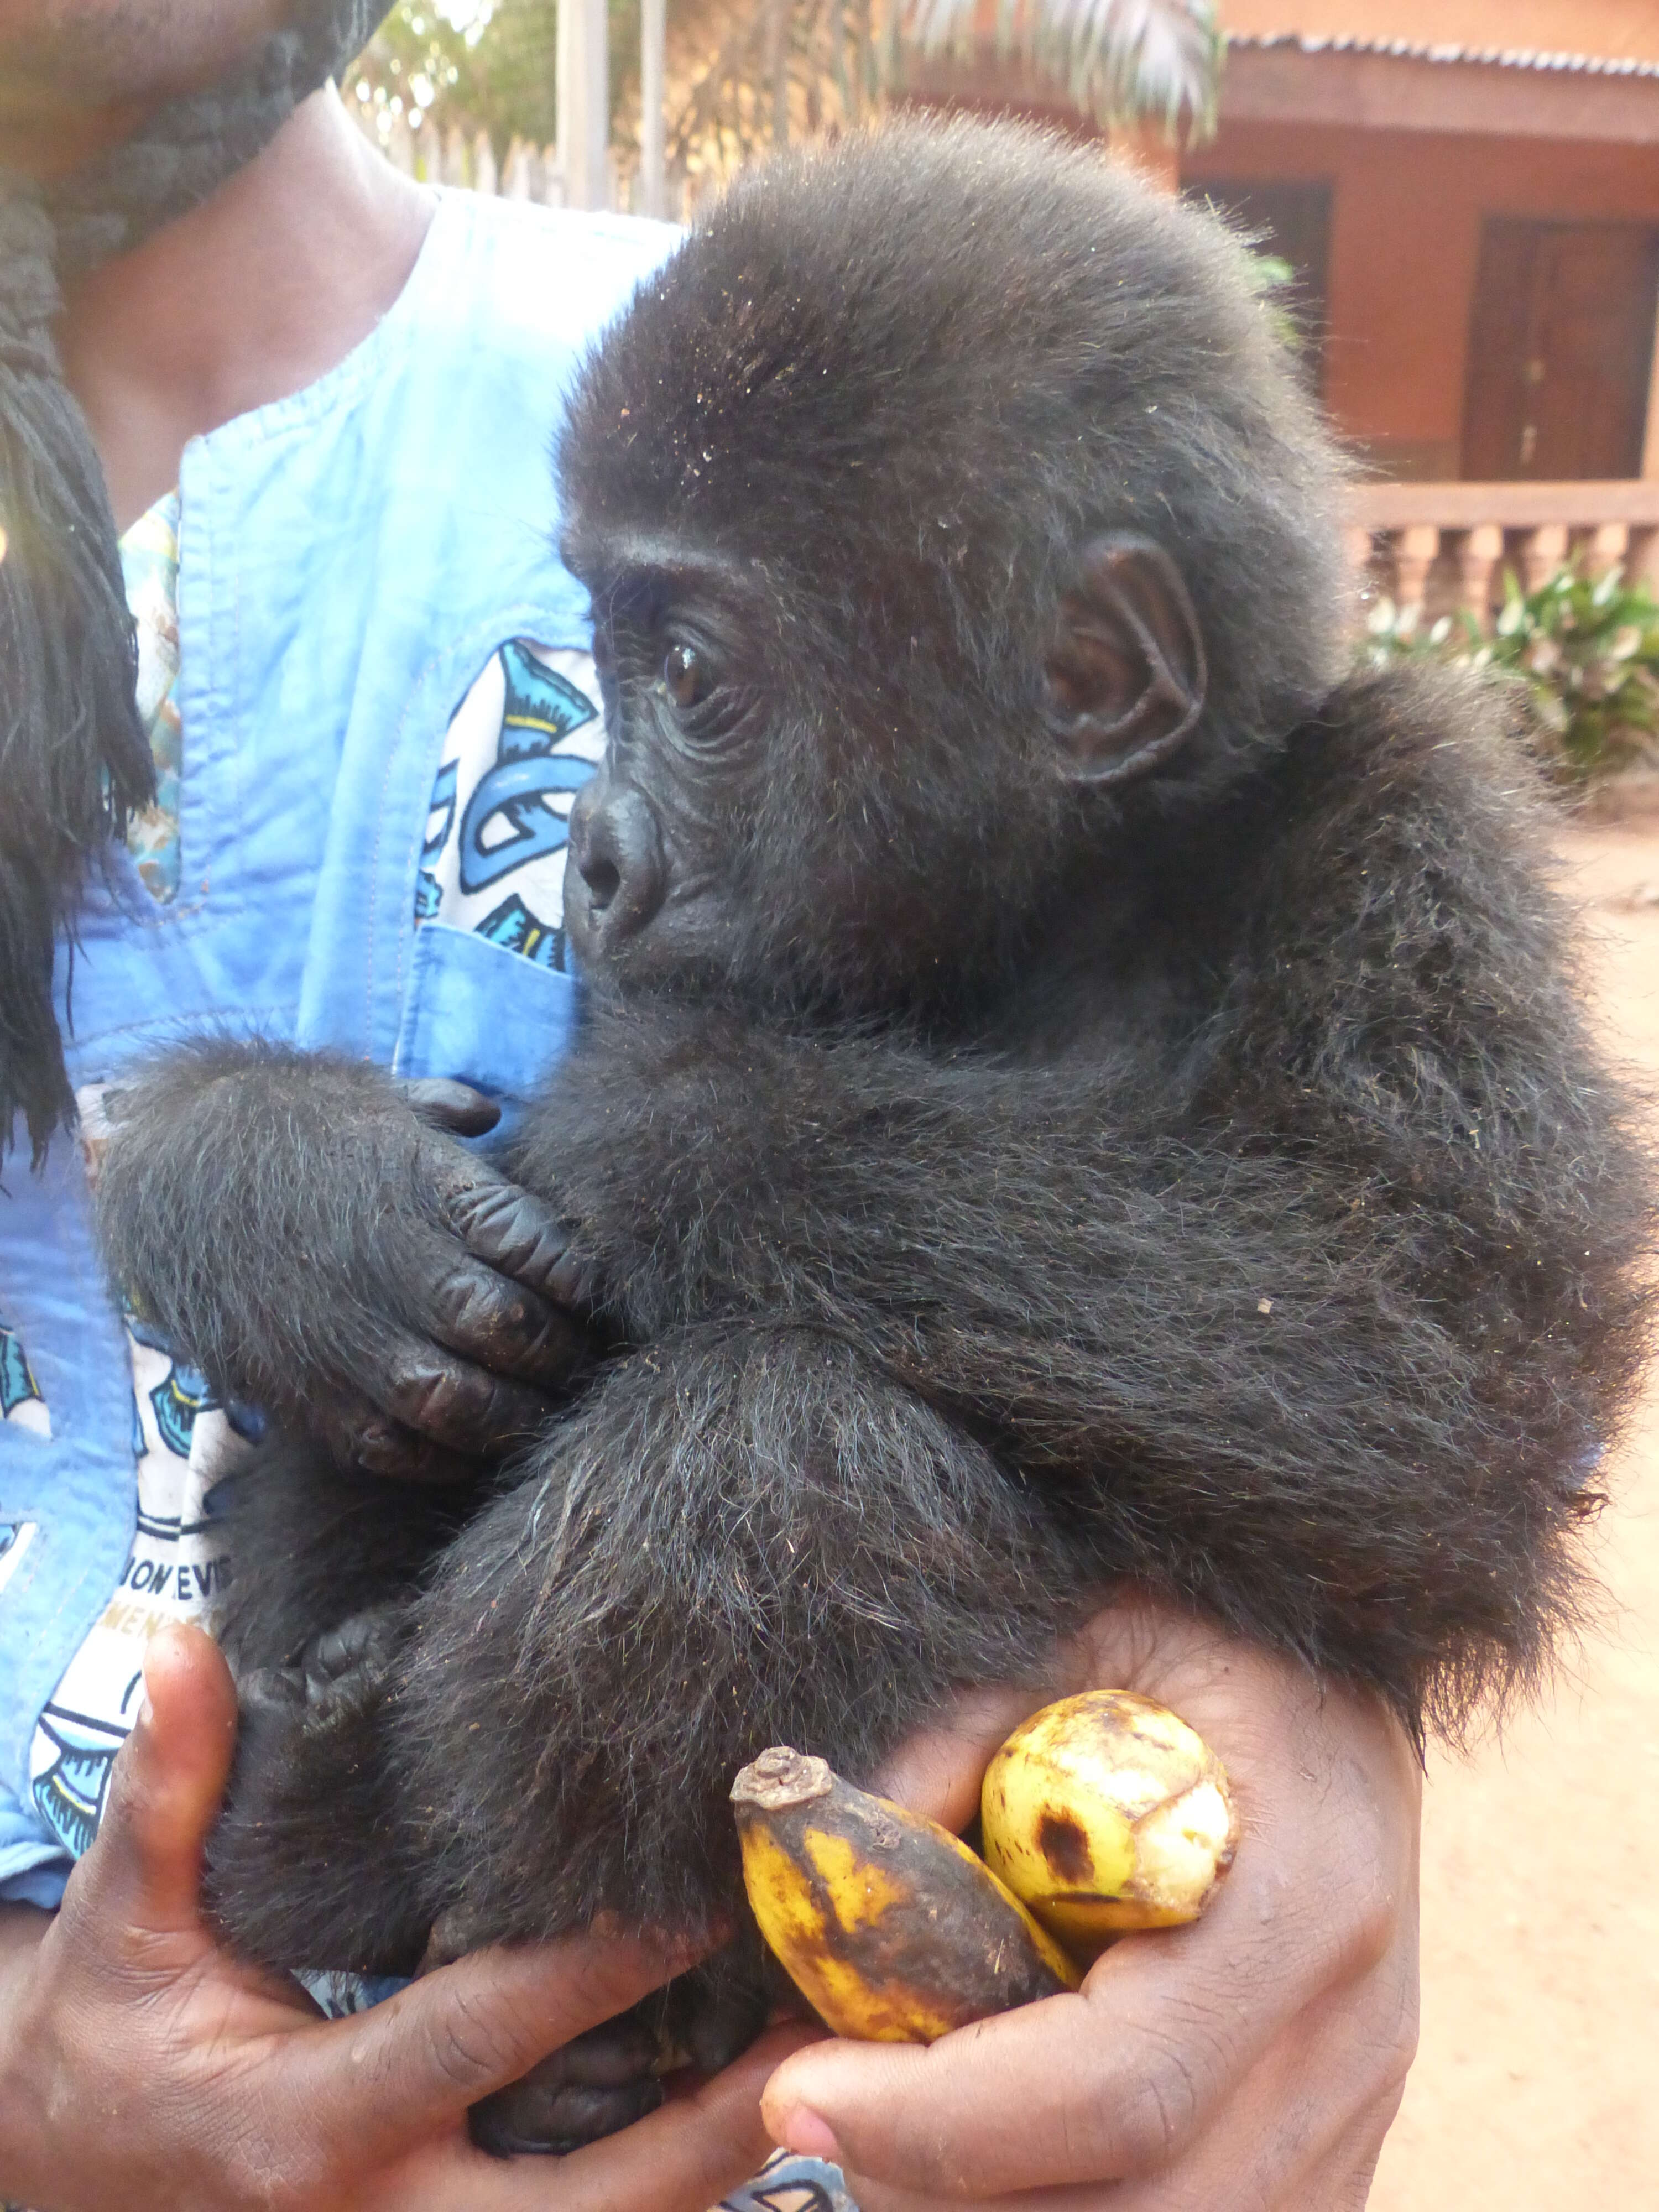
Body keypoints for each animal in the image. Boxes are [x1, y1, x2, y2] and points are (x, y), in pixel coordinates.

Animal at [101, 126, 1655, 2159]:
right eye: (596, 655)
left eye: (690, 675)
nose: (592, 854)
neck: (1066, 905)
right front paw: (274, 1185)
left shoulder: (1415, 809)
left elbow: (1424, 1364)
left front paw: (658, 1133)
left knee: (790, 1440)